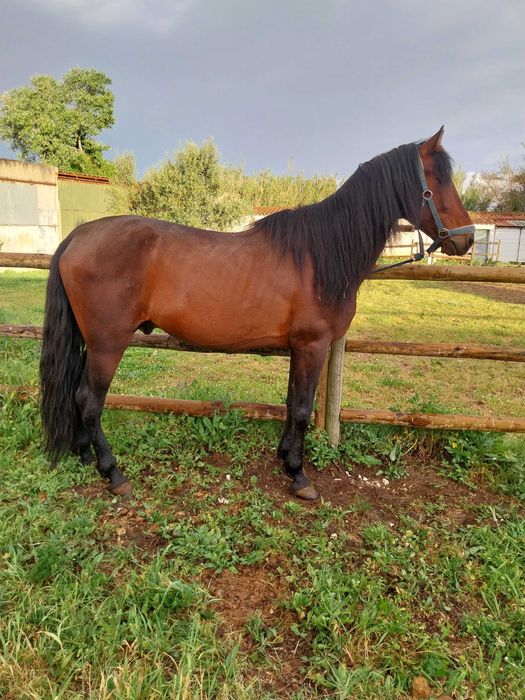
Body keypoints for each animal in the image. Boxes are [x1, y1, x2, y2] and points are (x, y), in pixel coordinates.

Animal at [40, 127, 474, 500]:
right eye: (436, 181)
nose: (467, 239)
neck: (319, 256)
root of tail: (78, 236)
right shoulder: (313, 346)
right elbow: (301, 410)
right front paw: (299, 475)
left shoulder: (299, 349)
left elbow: (291, 403)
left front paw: (285, 458)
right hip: (108, 344)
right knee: (89, 401)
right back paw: (113, 473)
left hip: (91, 343)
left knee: (78, 396)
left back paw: (84, 456)